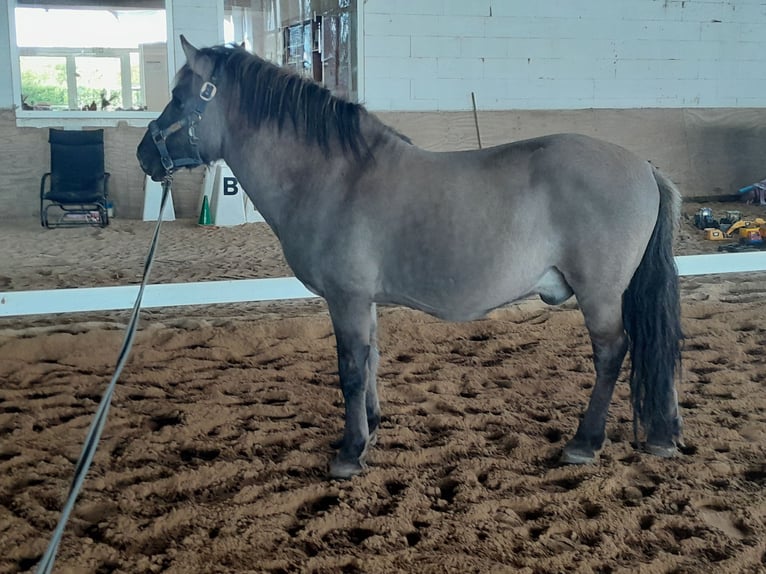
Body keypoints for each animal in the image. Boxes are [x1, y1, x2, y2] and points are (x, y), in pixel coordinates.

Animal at [137, 36, 684, 479]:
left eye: (180, 97)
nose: (145, 154)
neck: (334, 176)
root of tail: (644, 166)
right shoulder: (364, 301)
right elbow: (372, 359)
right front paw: (372, 427)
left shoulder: (346, 298)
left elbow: (351, 369)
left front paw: (350, 452)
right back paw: (664, 433)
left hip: (600, 294)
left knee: (613, 351)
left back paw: (585, 442)